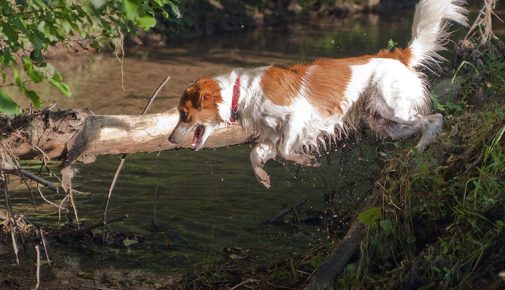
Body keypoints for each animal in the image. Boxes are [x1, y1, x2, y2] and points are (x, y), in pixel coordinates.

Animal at [170, 0, 468, 189]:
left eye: (184, 115)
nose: (170, 139)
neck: (241, 91)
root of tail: (397, 56)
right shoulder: (270, 135)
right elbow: (255, 155)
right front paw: (263, 177)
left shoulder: (298, 117)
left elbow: (286, 150)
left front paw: (307, 161)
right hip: (387, 124)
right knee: (421, 124)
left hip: (393, 108)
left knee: (435, 119)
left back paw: (421, 148)